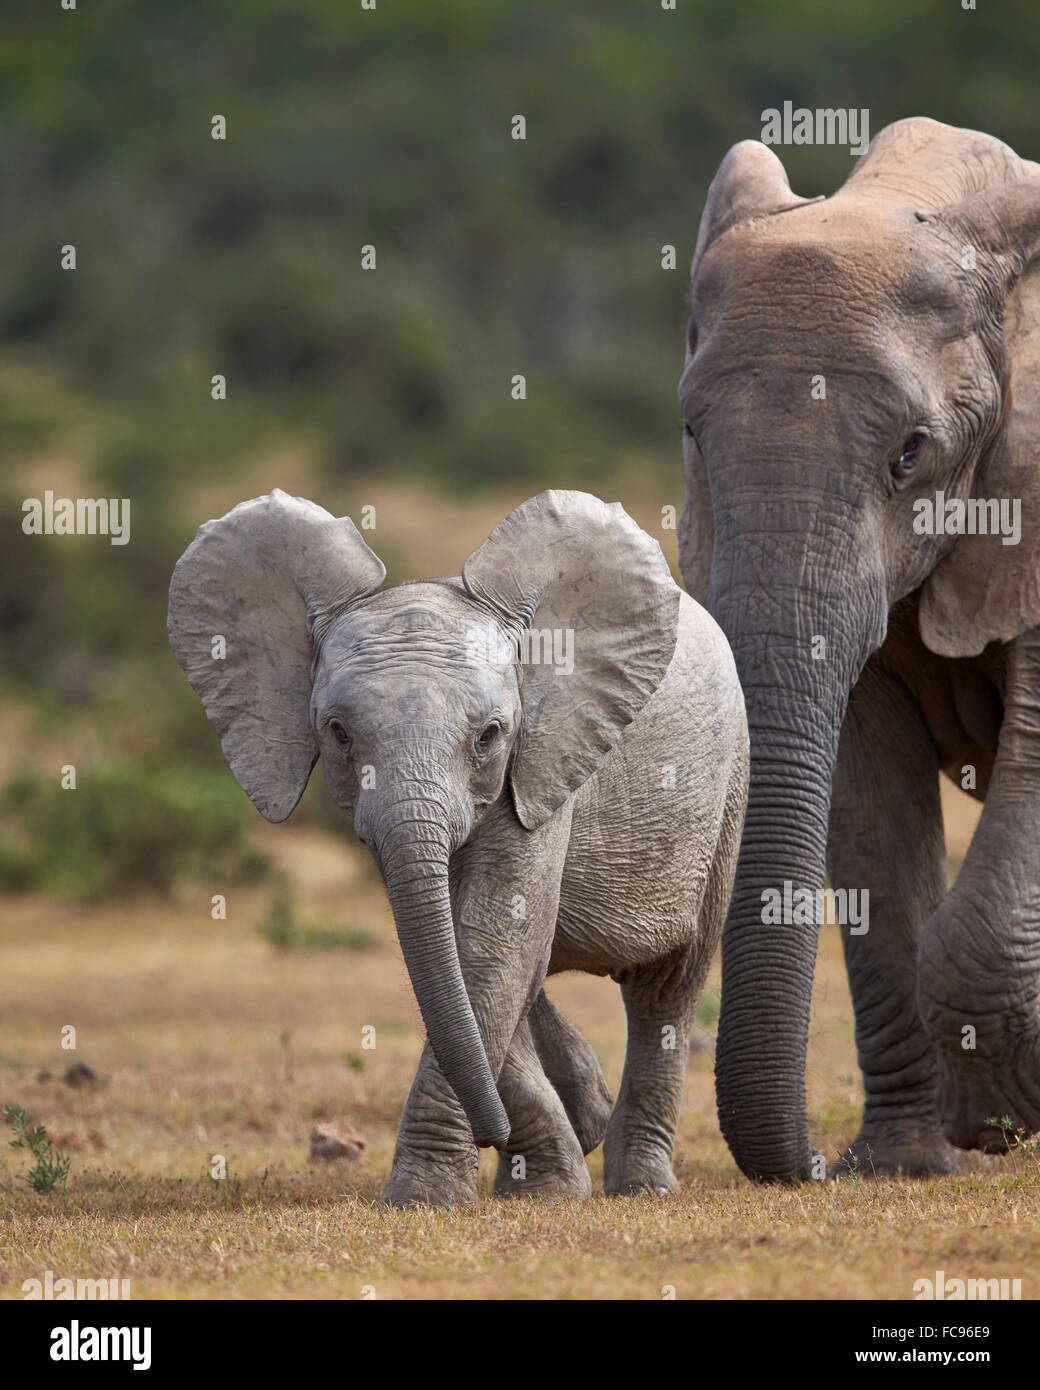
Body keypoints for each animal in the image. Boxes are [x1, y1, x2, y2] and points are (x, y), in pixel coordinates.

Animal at [174, 489, 750, 1206]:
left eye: (489, 735)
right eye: (338, 733)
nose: (490, 1131)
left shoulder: (541, 760)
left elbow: (491, 938)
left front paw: (431, 1196)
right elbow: (464, 948)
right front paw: (543, 1183)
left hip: (728, 788)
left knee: (666, 987)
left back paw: (642, 1185)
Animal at [681, 122, 1040, 1184]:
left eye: (910, 452)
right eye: (691, 434)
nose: (813, 1165)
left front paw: (1000, 1115)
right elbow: (869, 805)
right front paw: (909, 1165)